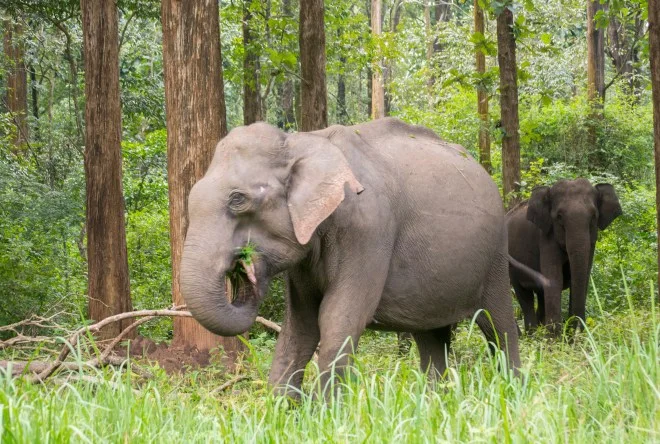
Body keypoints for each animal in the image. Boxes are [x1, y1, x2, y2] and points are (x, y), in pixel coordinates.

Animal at [180, 117, 523, 398]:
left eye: (237, 200)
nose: (244, 266)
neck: (303, 140)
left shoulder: (369, 231)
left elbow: (338, 316)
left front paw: (324, 413)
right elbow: (300, 324)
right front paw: (282, 413)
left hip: (495, 256)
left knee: (499, 325)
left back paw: (512, 391)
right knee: (432, 336)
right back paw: (433, 402)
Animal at [507, 179, 622, 333]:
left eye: (593, 216)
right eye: (559, 217)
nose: (577, 329)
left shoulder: (592, 241)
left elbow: (583, 277)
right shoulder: (546, 237)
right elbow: (555, 279)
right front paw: (556, 336)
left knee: (541, 295)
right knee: (524, 296)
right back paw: (533, 334)